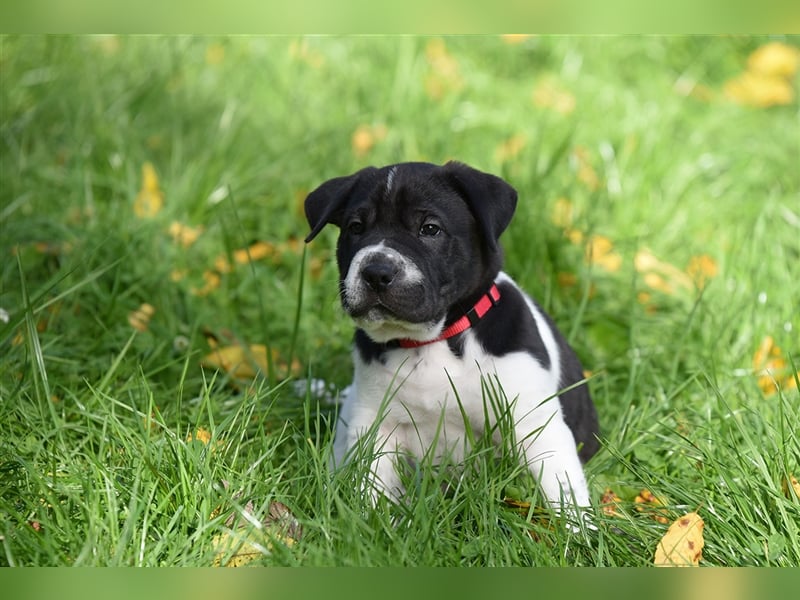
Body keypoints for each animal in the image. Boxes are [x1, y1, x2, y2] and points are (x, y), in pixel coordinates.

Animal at [306, 161, 600, 516]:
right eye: (356, 227)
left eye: (430, 229)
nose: (376, 272)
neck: (431, 341)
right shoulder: (375, 423)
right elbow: (369, 486)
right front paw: (367, 522)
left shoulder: (535, 424)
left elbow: (564, 493)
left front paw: (579, 530)